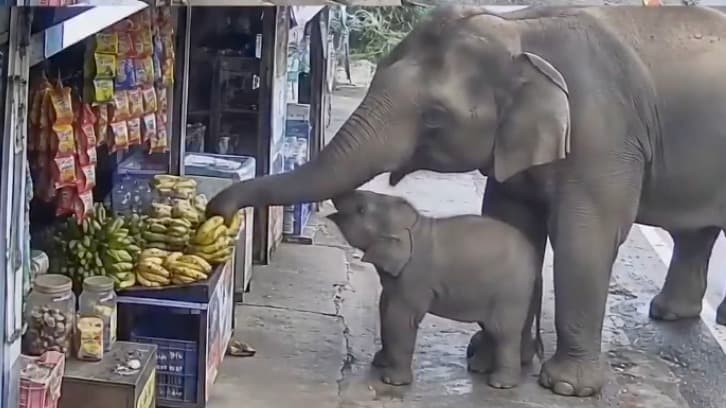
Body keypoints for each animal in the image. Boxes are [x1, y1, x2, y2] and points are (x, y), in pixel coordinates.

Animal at [327, 189, 544, 389]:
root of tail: (534, 258)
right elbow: (384, 308)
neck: (415, 226)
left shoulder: (415, 277)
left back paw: (500, 384)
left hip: (511, 291)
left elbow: (401, 318)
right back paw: (478, 368)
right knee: (490, 327)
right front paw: (380, 362)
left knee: (503, 332)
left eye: (361, 210)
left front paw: (392, 381)